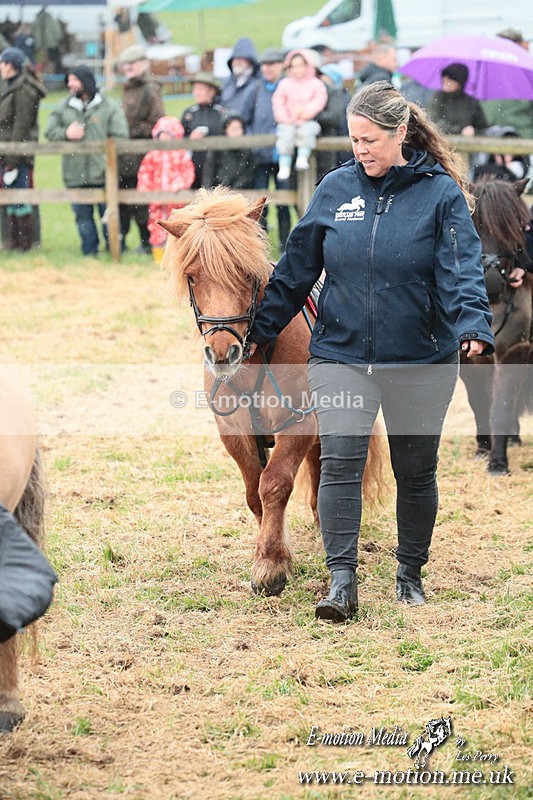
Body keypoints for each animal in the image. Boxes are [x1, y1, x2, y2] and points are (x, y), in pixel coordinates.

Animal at [161, 187, 383, 597]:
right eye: (193, 277)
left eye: (245, 273)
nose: (223, 352)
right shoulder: (234, 432)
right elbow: (254, 493)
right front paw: (276, 546)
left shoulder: (298, 424)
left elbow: (275, 484)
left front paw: (270, 563)